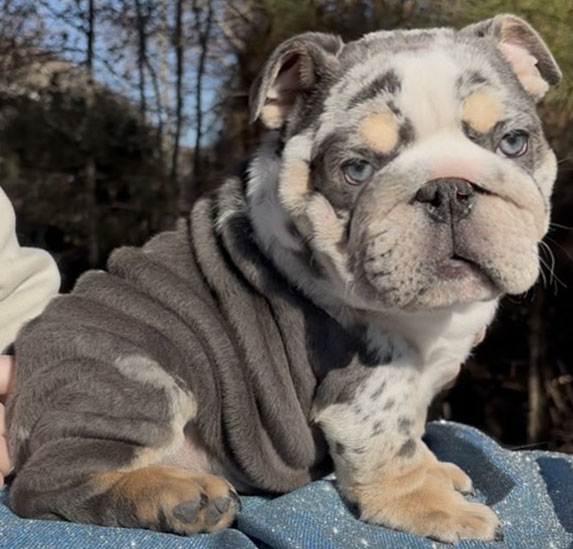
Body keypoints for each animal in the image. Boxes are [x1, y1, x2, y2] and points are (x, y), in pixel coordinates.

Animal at [4, 15, 560, 540]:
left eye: (514, 142)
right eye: (355, 170)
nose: (447, 189)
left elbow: (413, 430)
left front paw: (436, 471)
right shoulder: (366, 383)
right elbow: (390, 445)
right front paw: (432, 506)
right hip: (137, 376)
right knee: (46, 483)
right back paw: (177, 497)